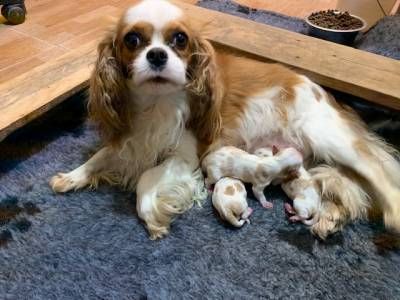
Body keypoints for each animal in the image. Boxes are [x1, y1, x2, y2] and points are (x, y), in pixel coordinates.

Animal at [50, 0, 400, 239]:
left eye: (180, 39)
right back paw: (329, 218)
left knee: (378, 173)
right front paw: (72, 176)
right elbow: (101, 156)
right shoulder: (130, 138)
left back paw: (393, 214)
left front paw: (152, 217)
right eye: (132, 40)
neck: (155, 101)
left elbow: (147, 179)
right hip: (315, 160)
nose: (157, 55)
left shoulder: (187, 155)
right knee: (347, 188)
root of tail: (328, 95)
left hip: (327, 136)